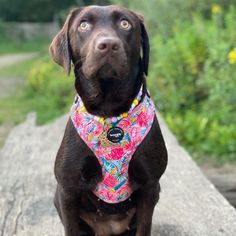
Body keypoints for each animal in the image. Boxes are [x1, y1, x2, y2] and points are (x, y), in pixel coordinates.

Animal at [49, 5, 168, 236]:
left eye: (125, 23)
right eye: (83, 25)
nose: (108, 45)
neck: (109, 111)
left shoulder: (150, 185)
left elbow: (144, 227)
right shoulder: (67, 188)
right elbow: (71, 227)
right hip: (58, 197)